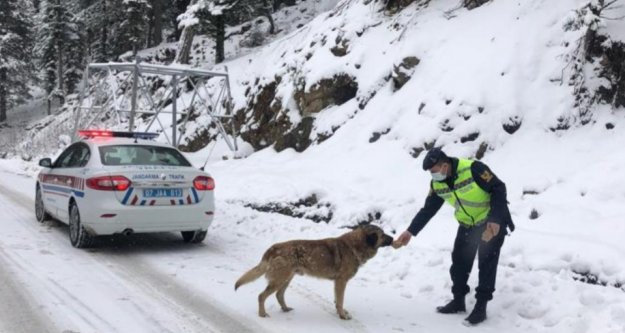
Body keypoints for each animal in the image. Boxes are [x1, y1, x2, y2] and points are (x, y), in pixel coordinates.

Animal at [236, 224, 392, 318]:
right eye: (383, 235)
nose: (393, 238)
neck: (355, 246)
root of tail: (272, 248)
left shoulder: (337, 283)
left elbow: (337, 300)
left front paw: (340, 312)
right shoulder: (341, 282)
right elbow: (340, 300)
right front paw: (342, 315)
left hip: (286, 278)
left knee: (279, 295)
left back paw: (285, 309)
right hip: (279, 279)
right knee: (261, 296)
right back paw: (262, 314)